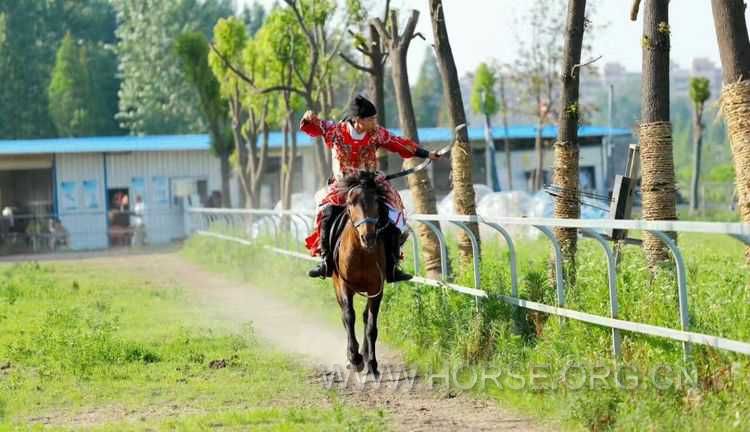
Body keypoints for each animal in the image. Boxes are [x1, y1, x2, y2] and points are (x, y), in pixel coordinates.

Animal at [332, 171, 389, 377]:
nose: (368, 237)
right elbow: (349, 316)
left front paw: (371, 364)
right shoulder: (344, 285)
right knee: (344, 315)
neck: (362, 253)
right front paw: (355, 359)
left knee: (365, 317)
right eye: (351, 202)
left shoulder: (376, 289)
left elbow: (371, 325)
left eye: (376, 201)